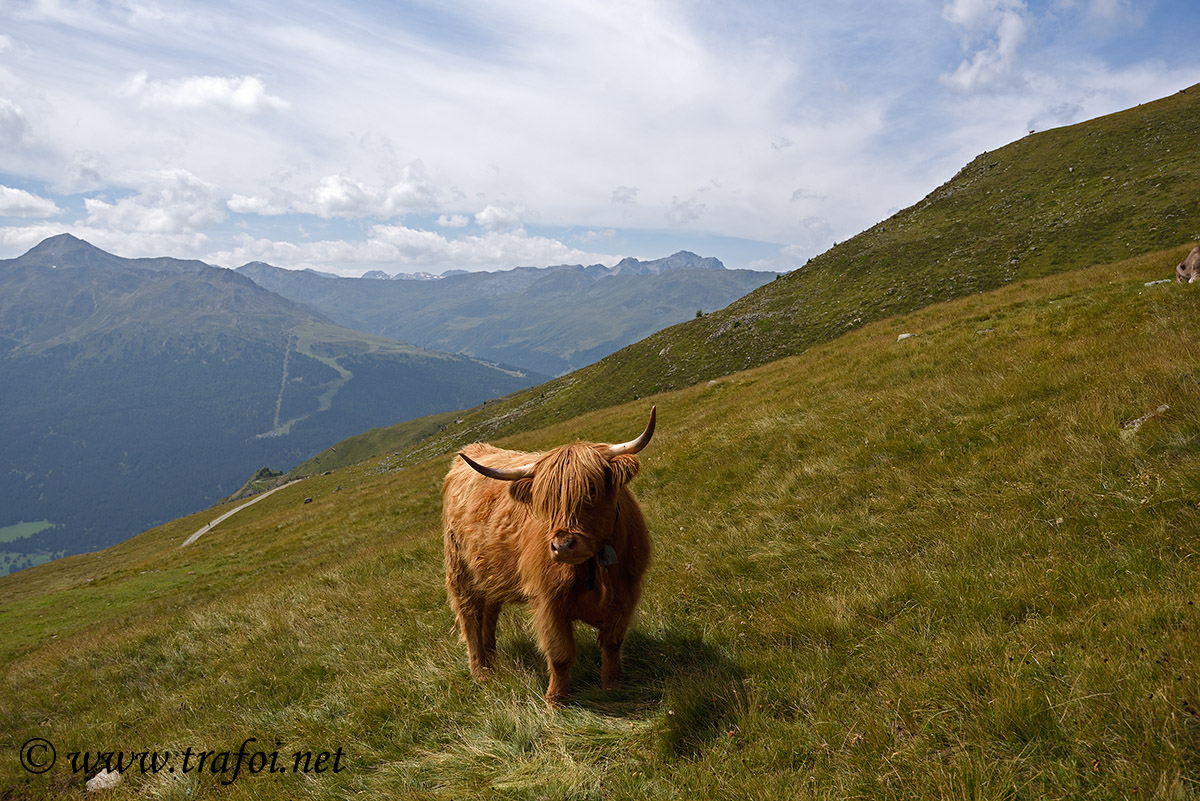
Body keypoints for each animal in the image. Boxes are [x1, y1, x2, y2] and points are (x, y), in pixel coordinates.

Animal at [446, 410, 657, 705]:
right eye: (545, 501)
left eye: (591, 490)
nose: (562, 546)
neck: (592, 568)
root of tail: (473, 450)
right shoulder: (549, 601)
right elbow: (560, 654)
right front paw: (555, 700)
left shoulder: (627, 592)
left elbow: (613, 642)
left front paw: (614, 685)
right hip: (459, 571)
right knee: (469, 616)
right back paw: (481, 672)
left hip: (488, 573)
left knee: (489, 613)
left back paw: (492, 661)